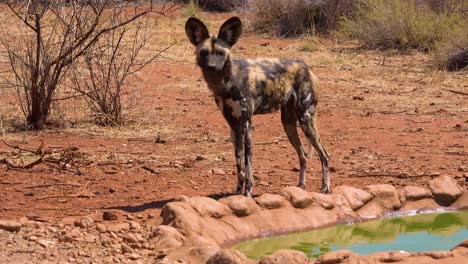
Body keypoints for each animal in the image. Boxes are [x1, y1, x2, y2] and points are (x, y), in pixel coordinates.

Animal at [185, 16, 330, 197]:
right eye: (204, 52)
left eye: (220, 53)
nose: (212, 67)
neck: (226, 83)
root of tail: (306, 67)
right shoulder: (234, 127)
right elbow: (239, 166)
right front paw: (237, 192)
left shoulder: (247, 126)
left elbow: (248, 167)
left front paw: (247, 194)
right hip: (288, 124)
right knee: (303, 155)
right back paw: (300, 186)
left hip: (306, 121)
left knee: (325, 155)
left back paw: (325, 188)